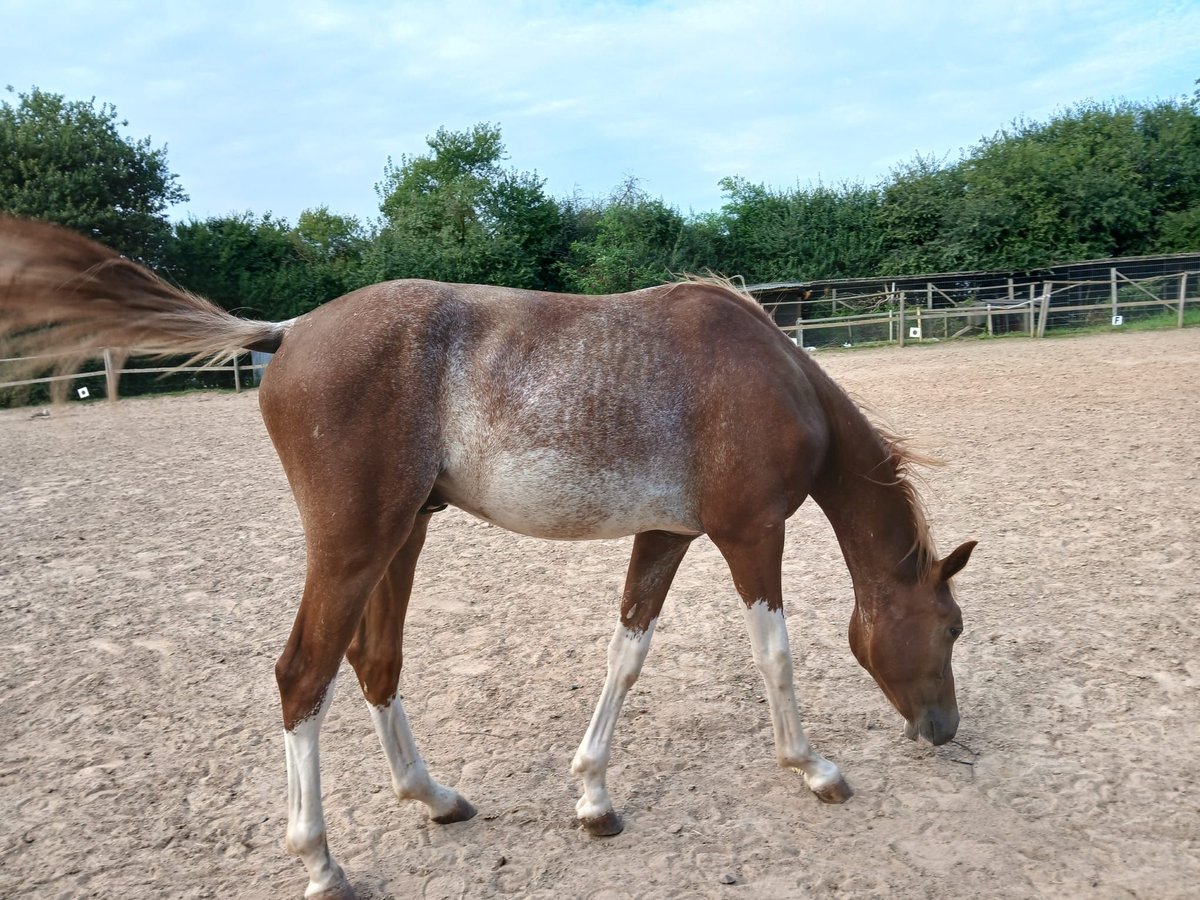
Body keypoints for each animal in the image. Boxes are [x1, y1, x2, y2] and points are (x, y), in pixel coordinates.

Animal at [0, 216, 976, 899]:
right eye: (953, 627)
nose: (943, 730)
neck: (770, 372)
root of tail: (290, 332)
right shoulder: (750, 535)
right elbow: (773, 654)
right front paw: (814, 769)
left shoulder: (666, 535)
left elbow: (627, 652)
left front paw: (592, 797)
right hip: (353, 545)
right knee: (304, 675)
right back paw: (320, 863)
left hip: (403, 535)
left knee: (375, 661)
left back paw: (434, 798)